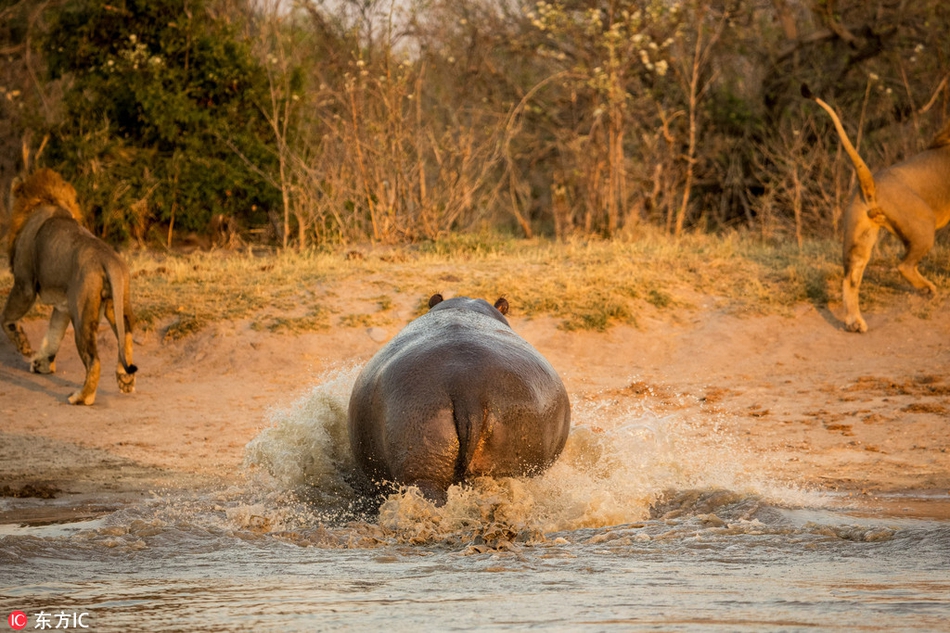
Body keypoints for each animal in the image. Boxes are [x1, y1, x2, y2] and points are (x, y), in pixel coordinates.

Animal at [1, 168, 139, 404]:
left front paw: (23, 345)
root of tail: (107, 258)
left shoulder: (24, 284)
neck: (46, 200)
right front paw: (42, 363)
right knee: (126, 335)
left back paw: (82, 397)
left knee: (94, 360)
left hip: (82, 314)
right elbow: (53, 334)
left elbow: (6, 317)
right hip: (116, 302)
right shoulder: (63, 305)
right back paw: (125, 379)